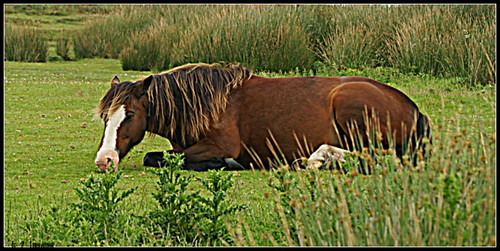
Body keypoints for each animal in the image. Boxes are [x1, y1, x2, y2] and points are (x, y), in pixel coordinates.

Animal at [94, 63, 430, 173]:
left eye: (130, 114)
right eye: (104, 118)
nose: (104, 160)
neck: (208, 103)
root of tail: (414, 109)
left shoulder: (220, 146)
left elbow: (158, 157)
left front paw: (225, 164)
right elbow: (160, 156)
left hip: (352, 110)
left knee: (375, 157)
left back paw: (317, 158)